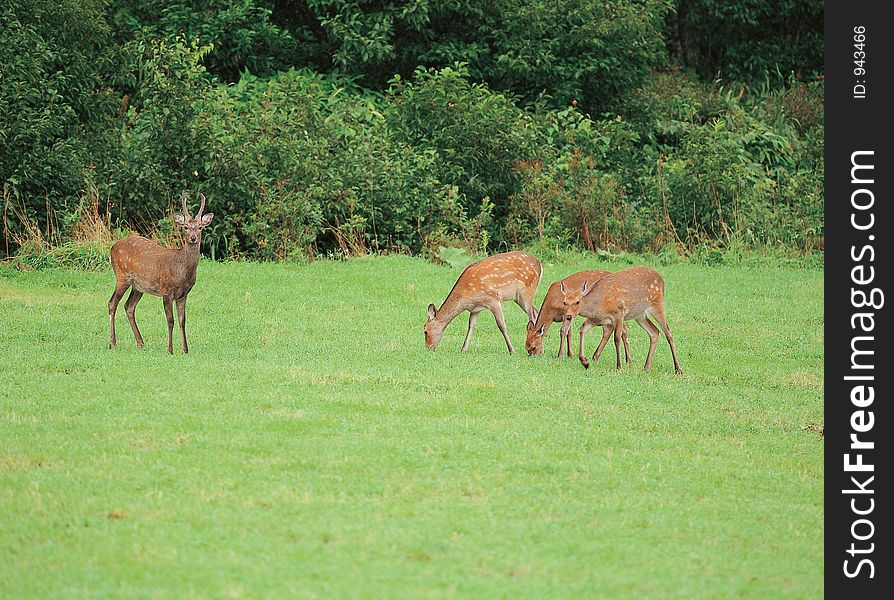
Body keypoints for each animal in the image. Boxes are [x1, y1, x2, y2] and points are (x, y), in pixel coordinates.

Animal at [107, 192, 214, 354]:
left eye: (200, 227)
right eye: (186, 227)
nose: (193, 238)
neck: (182, 271)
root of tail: (112, 248)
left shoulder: (183, 294)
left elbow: (182, 321)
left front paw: (185, 350)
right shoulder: (166, 290)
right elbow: (170, 320)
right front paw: (170, 349)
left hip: (138, 286)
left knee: (129, 306)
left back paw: (140, 343)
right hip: (121, 275)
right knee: (112, 303)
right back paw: (112, 343)